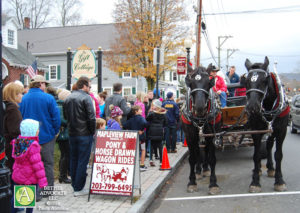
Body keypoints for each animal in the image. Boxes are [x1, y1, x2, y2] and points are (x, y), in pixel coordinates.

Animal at [180, 64, 223, 194]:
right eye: (190, 83)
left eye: (209, 83)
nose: (199, 107)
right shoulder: (189, 137)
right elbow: (192, 158)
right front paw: (192, 182)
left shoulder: (213, 135)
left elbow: (212, 158)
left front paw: (213, 184)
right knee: (198, 151)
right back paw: (199, 170)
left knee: (206, 151)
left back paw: (205, 169)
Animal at [245, 56, 290, 193]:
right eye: (246, 81)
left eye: (265, 80)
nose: (252, 107)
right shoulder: (256, 130)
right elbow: (256, 154)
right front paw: (255, 181)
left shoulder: (281, 131)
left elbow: (278, 155)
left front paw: (279, 180)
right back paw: (260, 168)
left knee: (269, 146)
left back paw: (270, 168)